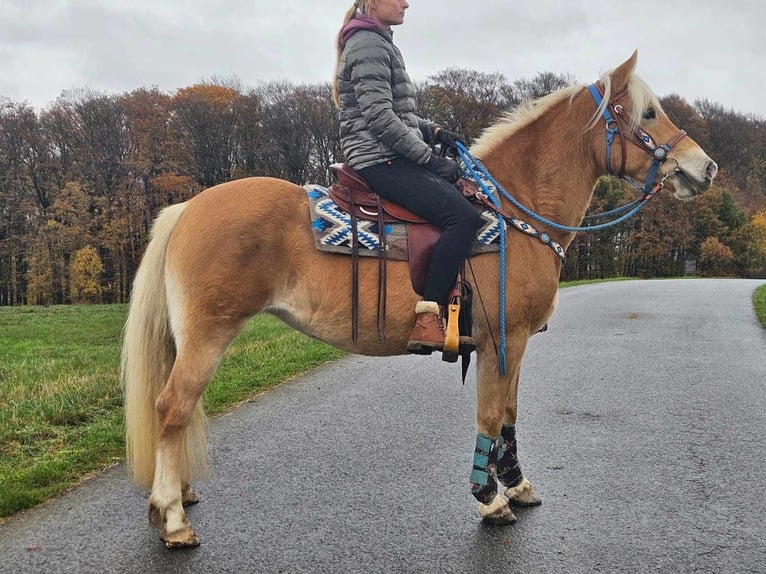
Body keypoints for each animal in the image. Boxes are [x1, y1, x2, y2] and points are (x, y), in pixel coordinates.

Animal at [120, 53, 720, 548]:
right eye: (648, 114)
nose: (706, 167)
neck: (511, 213)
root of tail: (187, 209)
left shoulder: (512, 345)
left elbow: (509, 415)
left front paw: (515, 483)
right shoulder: (502, 339)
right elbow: (490, 414)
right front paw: (490, 500)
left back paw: (179, 494)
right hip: (207, 336)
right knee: (173, 408)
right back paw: (173, 517)